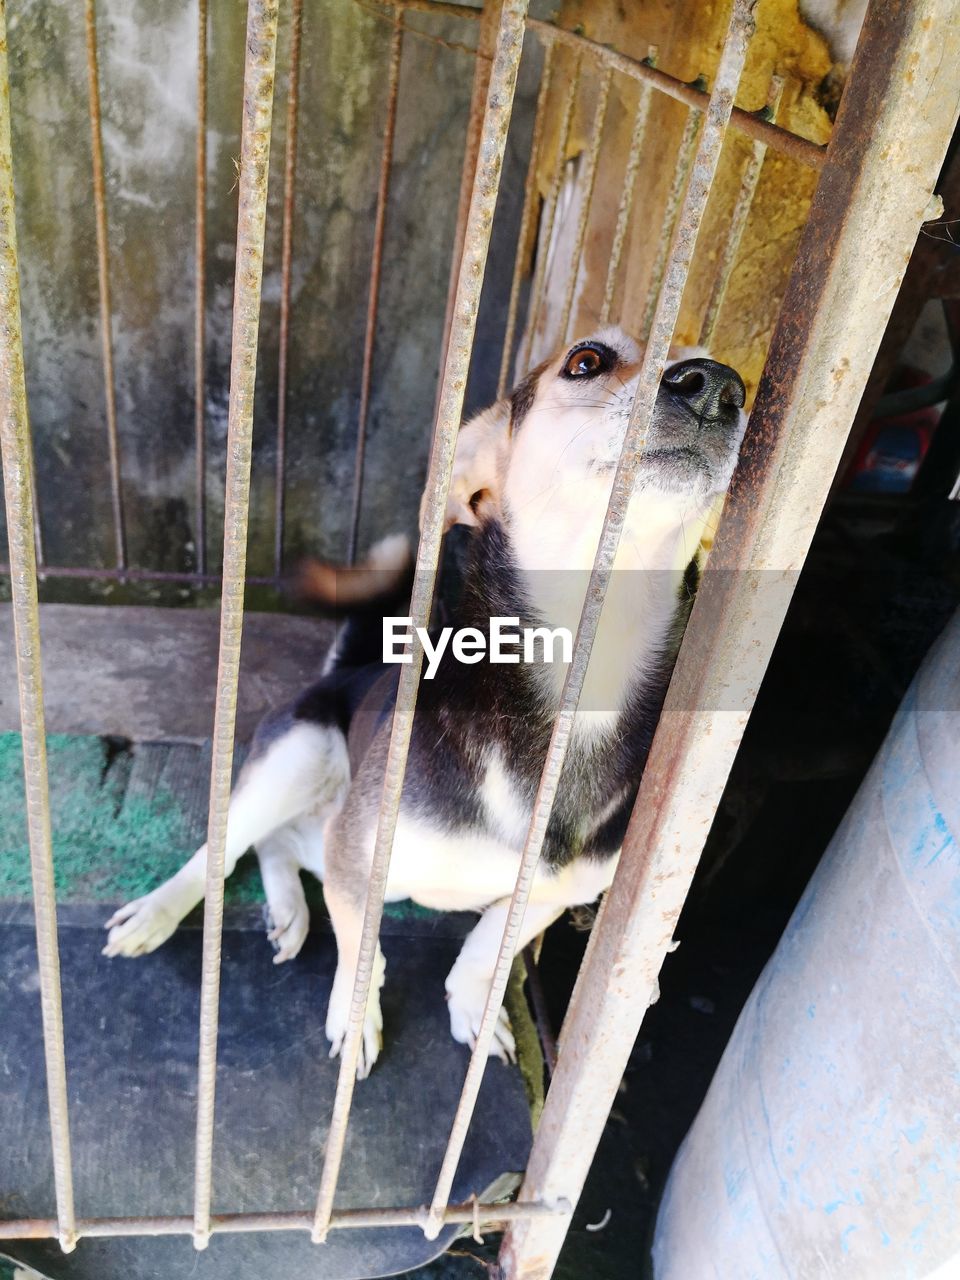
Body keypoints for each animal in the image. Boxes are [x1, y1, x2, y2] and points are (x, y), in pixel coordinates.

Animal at [106, 325, 752, 1075]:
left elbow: (485, 946)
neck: (583, 680)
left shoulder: (552, 893)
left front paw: (474, 1009)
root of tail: (348, 670)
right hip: (299, 756)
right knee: (227, 845)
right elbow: (362, 955)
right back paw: (159, 912)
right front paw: (355, 1022)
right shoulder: (357, 857)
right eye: (586, 360)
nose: (716, 387)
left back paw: (289, 909)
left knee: (281, 844)